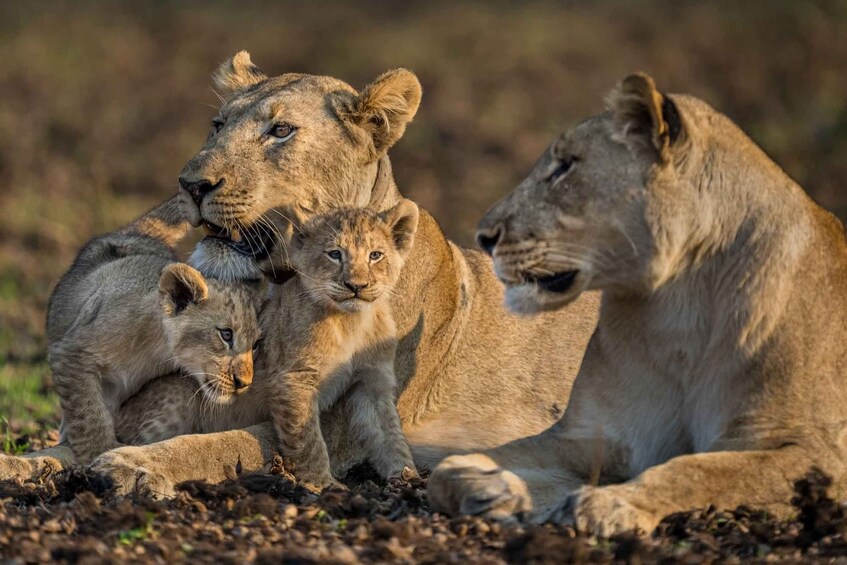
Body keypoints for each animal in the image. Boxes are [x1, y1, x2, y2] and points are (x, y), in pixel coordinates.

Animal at [1, 52, 598, 492]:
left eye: (281, 131)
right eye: (217, 125)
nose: (190, 184)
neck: (283, 284)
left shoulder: (342, 422)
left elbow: (230, 444)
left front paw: (135, 464)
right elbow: (73, 439)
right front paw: (25, 463)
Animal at [426, 72, 847, 537]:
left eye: (566, 166)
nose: (484, 237)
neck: (679, 306)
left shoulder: (815, 451)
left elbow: (699, 471)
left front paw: (609, 504)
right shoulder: (594, 438)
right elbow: (446, 470)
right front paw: (494, 486)